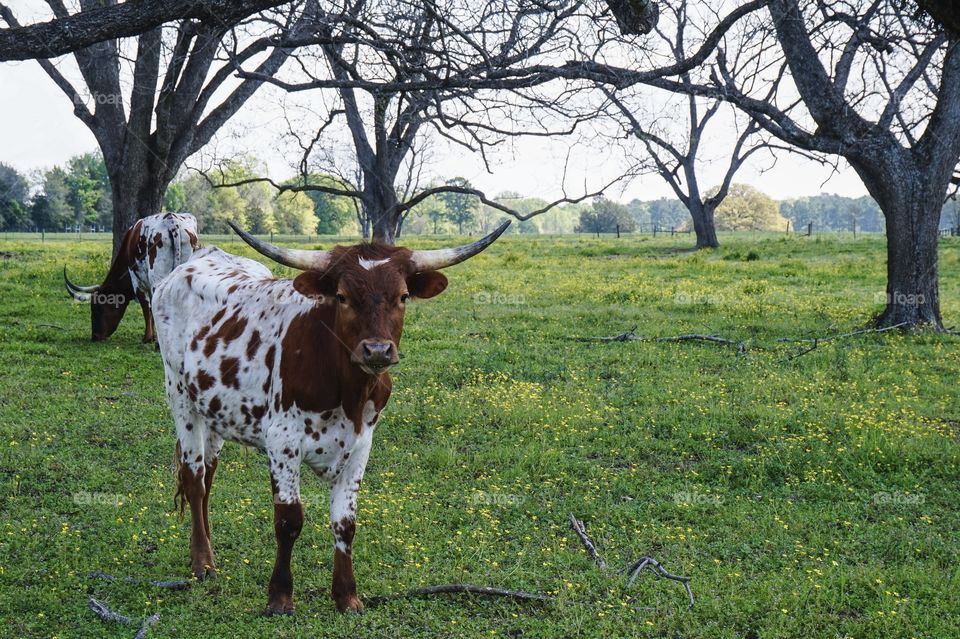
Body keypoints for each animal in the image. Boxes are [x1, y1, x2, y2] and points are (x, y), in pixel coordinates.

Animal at [64, 212, 201, 342]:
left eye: (97, 308)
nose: (95, 336)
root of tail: (170, 220)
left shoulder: (137, 282)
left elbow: (146, 308)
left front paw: (148, 338)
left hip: (157, 278)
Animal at [153, 221, 510, 616]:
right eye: (341, 296)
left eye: (403, 296)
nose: (377, 350)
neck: (348, 391)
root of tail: (199, 259)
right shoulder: (283, 442)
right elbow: (288, 521)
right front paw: (280, 597)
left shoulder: (361, 444)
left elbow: (345, 523)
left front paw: (347, 596)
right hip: (180, 397)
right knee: (194, 478)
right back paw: (202, 561)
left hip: (214, 408)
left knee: (208, 476)